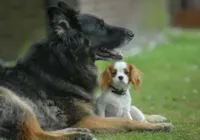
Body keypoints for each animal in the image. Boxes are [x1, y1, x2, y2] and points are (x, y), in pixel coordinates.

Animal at [0, 1, 173, 140]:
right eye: (100, 26)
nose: (132, 33)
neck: (66, 64)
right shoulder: (84, 118)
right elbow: (125, 120)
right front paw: (155, 126)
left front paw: (154, 118)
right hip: (16, 102)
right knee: (34, 135)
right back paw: (77, 135)